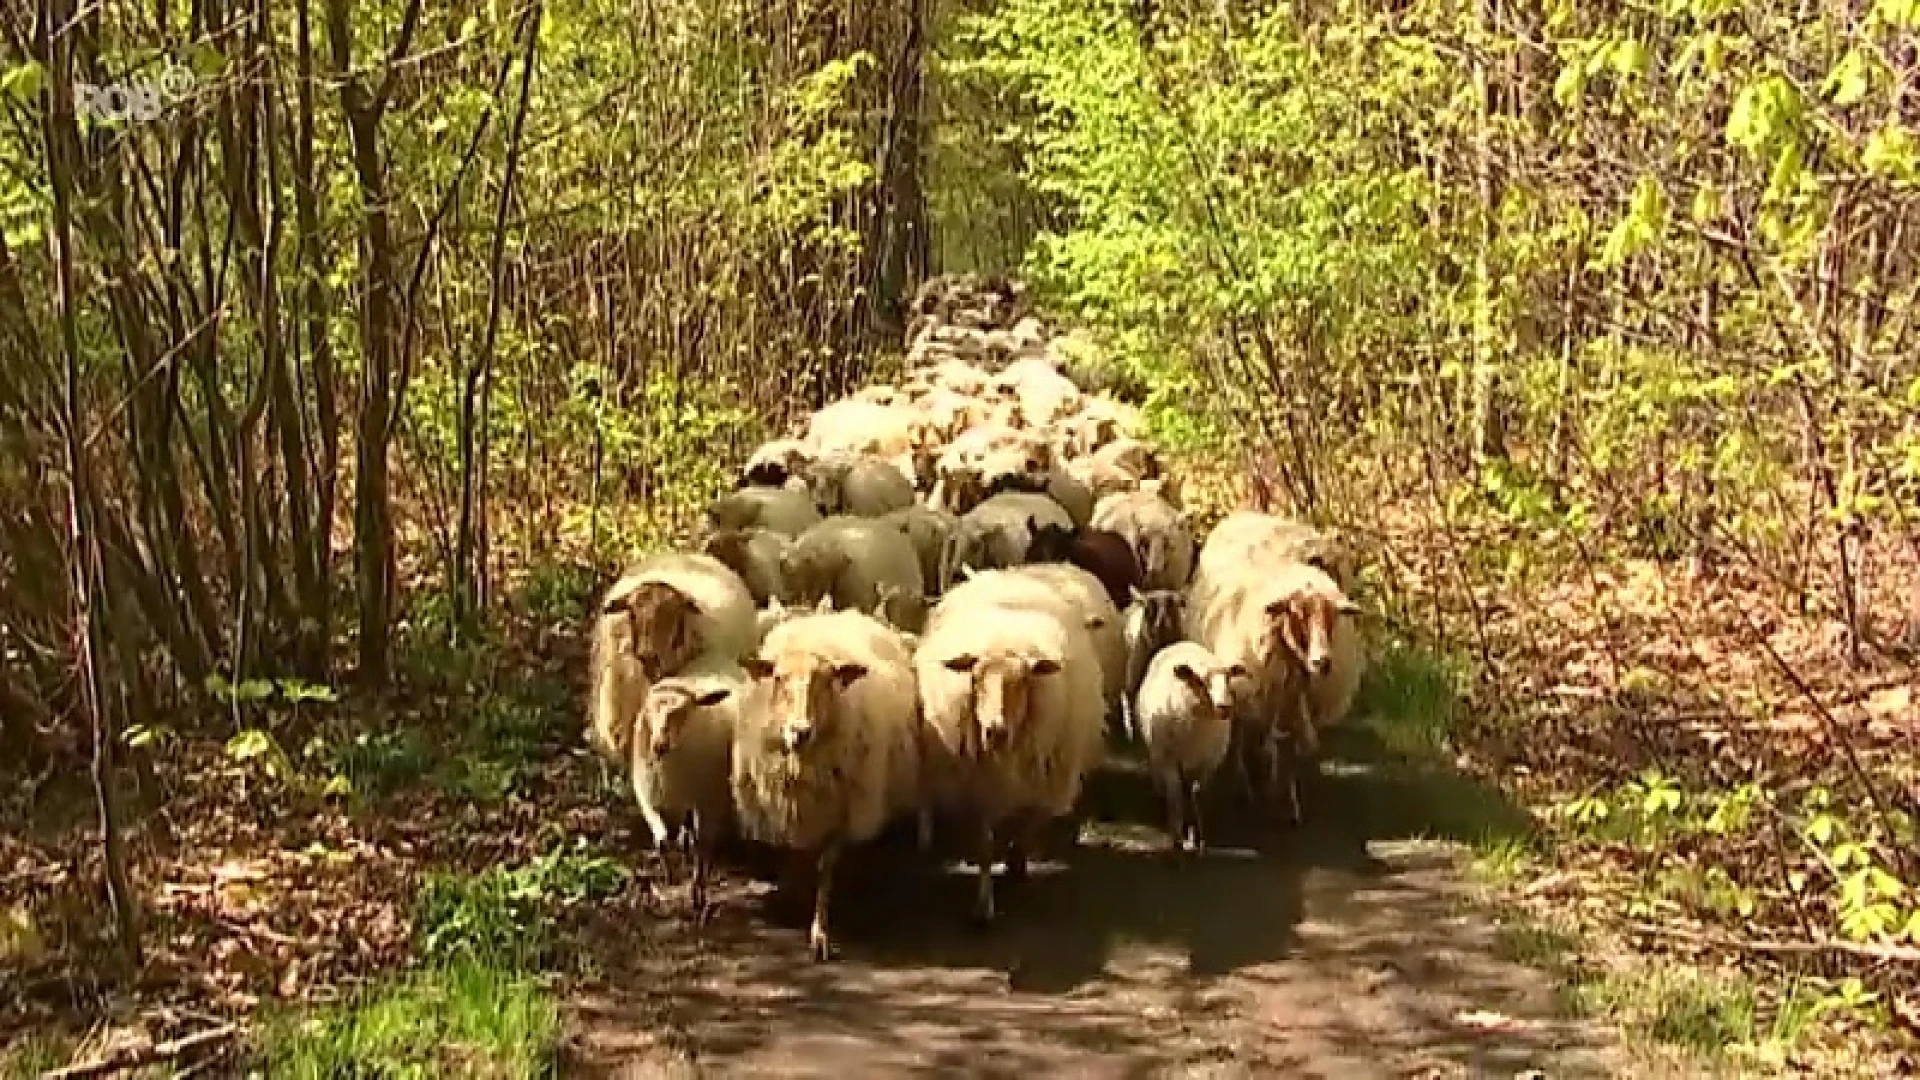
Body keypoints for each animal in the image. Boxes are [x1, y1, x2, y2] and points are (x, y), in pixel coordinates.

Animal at [729, 611, 925, 953]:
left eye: (827, 680)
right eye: (778, 679)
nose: (800, 731)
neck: (802, 764)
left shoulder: (841, 814)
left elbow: (825, 868)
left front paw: (819, 930)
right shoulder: (787, 810)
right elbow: (796, 859)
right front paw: (793, 901)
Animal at [917, 584, 1113, 922]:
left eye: (1023, 681)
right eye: (975, 679)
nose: (995, 730)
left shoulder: (1043, 779)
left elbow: (1029, 824)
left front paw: (1016, 862)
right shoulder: (977, 785)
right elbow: (984, 847)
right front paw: (983, 906)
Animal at [1128, 638, 1251, 849]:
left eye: (1228, 679)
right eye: (1201, 681)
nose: (1225, 707)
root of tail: (1182, 642)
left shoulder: (1208, 761)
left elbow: (1197, 793)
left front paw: (1199, 837)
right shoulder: (1169, 760)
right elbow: (1176, 796)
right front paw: (1177, 837)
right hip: (1157, 751)